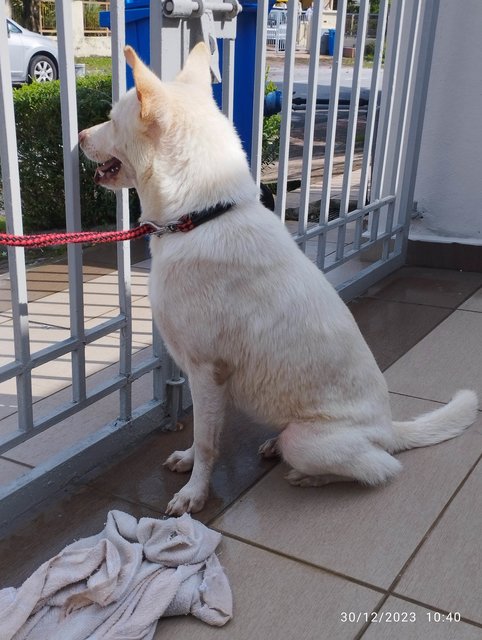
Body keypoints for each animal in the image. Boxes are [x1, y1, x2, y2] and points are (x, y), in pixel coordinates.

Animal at [79, 43, 478, 516]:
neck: (201, 216)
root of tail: (389, 429)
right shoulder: (203, 378)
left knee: (380, 468)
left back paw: (308, 474)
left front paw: (195, 493)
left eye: (109, 118)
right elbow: (203, 433)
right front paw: (189, 461)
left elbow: (208, 442)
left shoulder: (207, 370)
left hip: (307, 440)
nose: (78, 136)